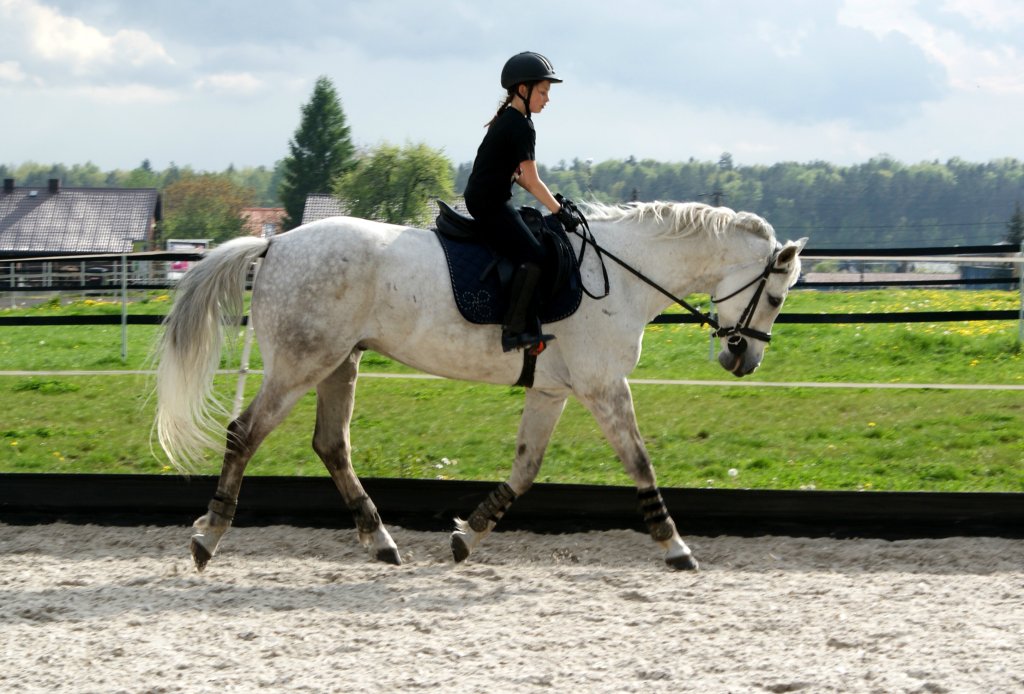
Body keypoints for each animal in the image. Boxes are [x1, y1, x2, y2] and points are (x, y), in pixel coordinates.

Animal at [155, 201, 802, 569]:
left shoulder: (553, 390)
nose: (742, 359)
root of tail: (276, 242)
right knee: (245, 433)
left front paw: (468, 536)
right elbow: (639, 461)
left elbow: (526, 467)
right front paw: (675, 547)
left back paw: (381, 540)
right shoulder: (603, 385)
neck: (620, 274)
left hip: (340, 363)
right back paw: (208, 538)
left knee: (331, 445)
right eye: (775, 295)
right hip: (300, 365)